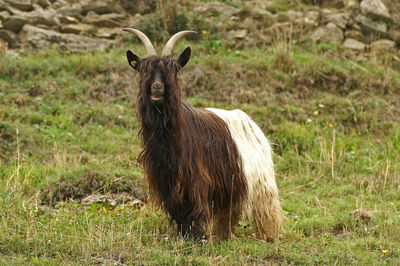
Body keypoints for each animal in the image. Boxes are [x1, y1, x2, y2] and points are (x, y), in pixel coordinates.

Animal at [123, 28, 282, 242]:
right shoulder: (168, 181)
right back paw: (222, 236)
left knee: (265, 209)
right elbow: (178, 209)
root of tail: (252, 124)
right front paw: (183, 235)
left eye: (172, 72)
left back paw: (269, 236)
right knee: (229, 211)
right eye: (144, 71)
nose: (157, 87)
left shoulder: (196, 178)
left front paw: (195, 237)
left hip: (260, 182)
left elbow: (194, 207)